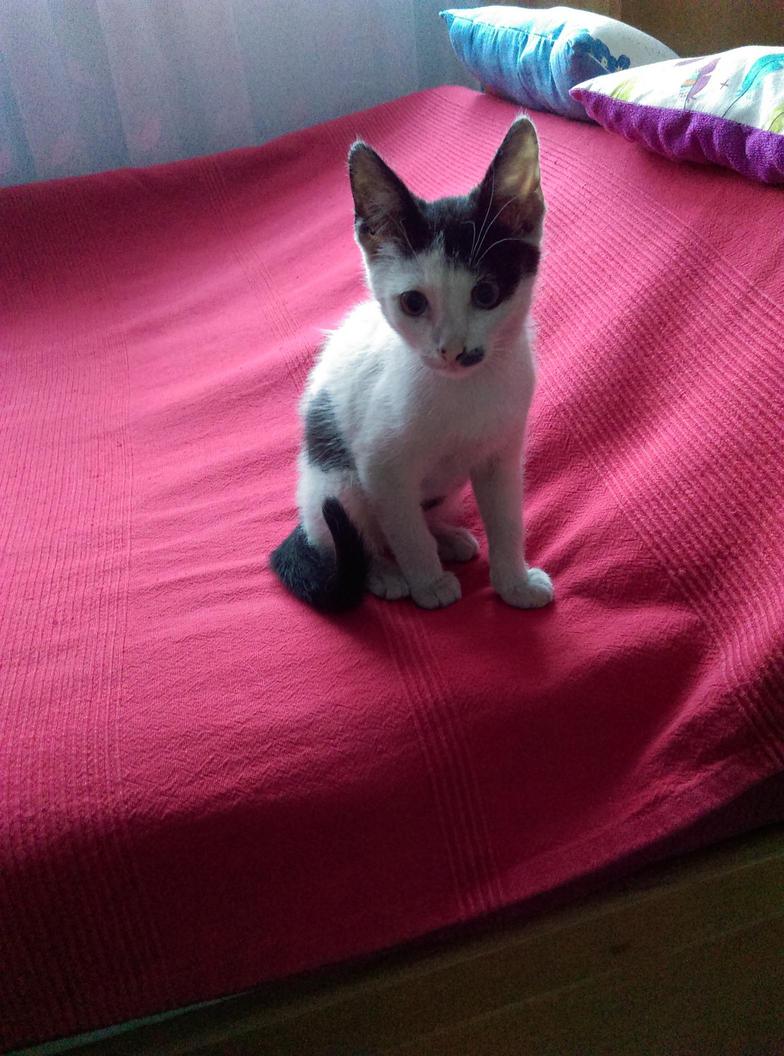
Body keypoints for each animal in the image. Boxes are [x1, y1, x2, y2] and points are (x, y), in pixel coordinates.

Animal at [271, 116, 554, 614]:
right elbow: (405, 531)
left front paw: (514, 584)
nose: (454, 350)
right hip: (335, 482)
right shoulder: (381, 467)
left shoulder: (502, 453)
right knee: (356, 536)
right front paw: (428, 582)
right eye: (413, 302)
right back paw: (385, 573)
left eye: (486, 294)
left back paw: (448, 538)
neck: (465, 391)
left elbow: (506, 520)